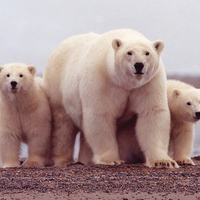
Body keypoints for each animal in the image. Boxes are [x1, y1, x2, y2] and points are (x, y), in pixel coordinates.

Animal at [43, 28, 178, 168]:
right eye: (129, 52)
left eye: (147, 53)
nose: (139, 65)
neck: (125, 83)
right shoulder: (102, 80)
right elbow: (101, 115)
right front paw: (111, 159)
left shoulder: (148, 84)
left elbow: (152, 113)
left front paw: (163, 161)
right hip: (57, 87)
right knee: (63, 126)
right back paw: (63, 160)